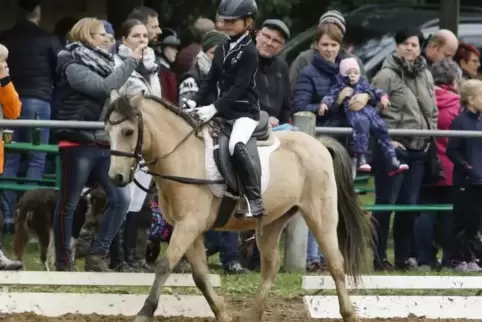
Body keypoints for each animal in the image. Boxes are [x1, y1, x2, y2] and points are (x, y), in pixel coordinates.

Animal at [105, 93, 374, 322]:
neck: (183, 155)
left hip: (320, 215)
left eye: (129, 131)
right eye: (108, 132)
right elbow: (200, 276)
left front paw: (144, 312)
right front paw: (222, 313)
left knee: (336, 264)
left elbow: (164, 266)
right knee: (270, 267)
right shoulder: (189, 228)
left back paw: (348, 314)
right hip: (273, 221)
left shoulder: (189, 225)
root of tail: (318, 143)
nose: (116, 177)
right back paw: (254, 315)